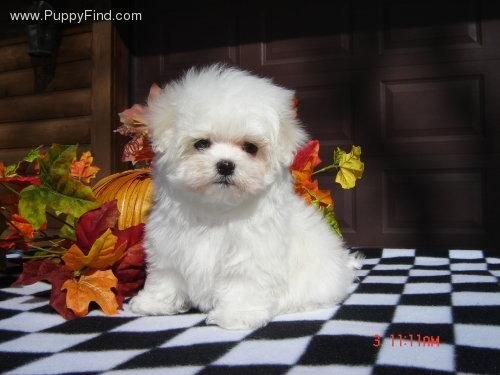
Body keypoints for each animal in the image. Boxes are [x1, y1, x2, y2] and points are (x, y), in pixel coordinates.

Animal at [131, 66, 362, 330]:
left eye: (250, 148)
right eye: (201, 144)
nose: (225, 165)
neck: (216, 209)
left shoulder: (252, 256)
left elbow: (244, 284)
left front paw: (236, 315)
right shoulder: (168, 245)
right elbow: (166, 275)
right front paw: (154, 303)